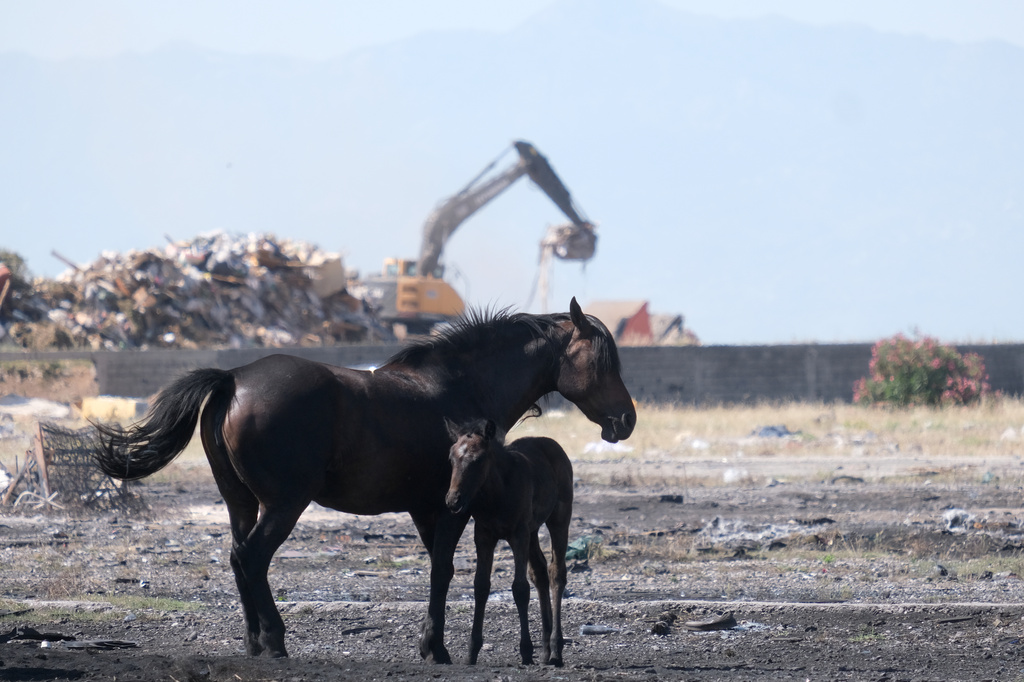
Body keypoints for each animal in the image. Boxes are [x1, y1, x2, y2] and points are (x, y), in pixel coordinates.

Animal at [445, 418, 573, 666]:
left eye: (478, 460)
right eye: (451, 458)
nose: (453, 500)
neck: (497, 494)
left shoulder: (518, 534)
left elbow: (520, 588)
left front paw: (526, 651)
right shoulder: (483, 535)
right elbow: (481, 586)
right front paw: (471, 651)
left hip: (559, 517)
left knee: (556, 572)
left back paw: (556, 647)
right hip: (533, 530)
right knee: (540, 571)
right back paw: (545, 649)